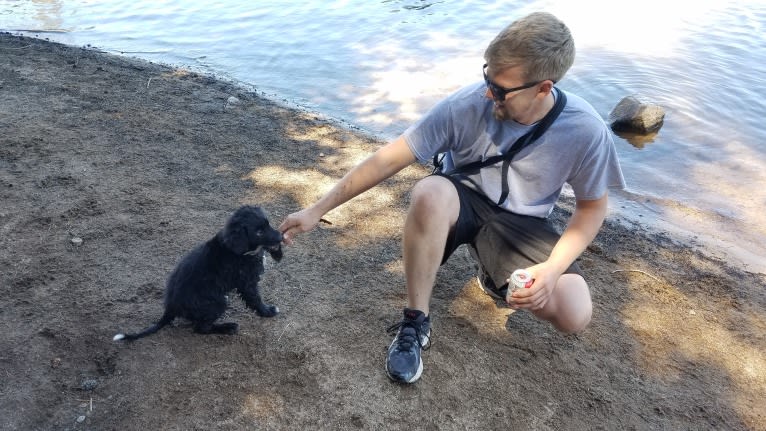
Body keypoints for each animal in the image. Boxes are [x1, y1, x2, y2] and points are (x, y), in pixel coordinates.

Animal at [112, 204, 284, 342]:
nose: (281, 237)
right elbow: (256, 300)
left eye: (268, 224)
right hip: (219, 301)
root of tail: (170, 308)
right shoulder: (247, 283)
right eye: (259, 232)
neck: (240, 249)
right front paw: (268, 312)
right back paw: (227, 327)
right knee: (201, 328)